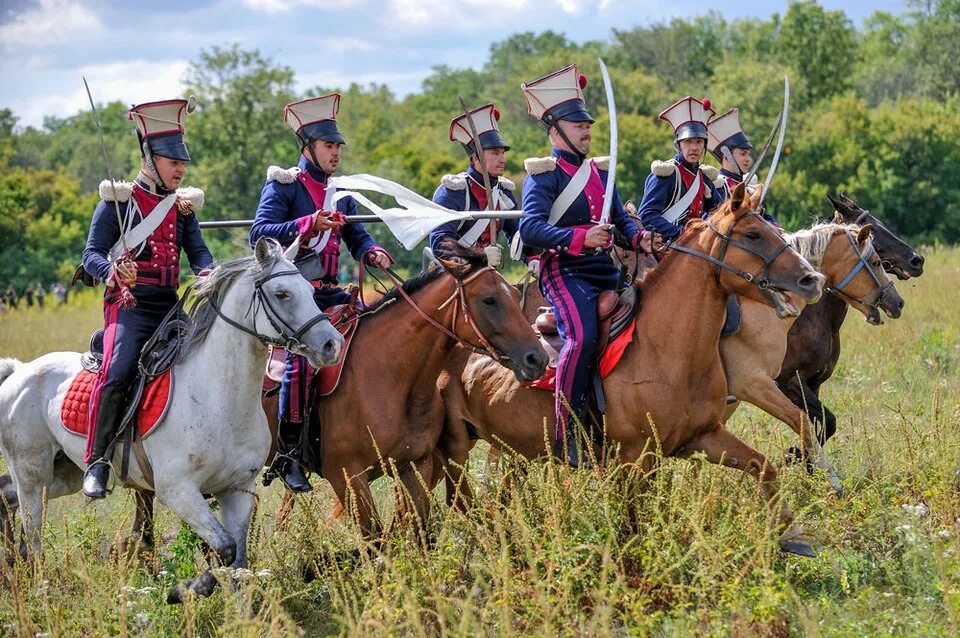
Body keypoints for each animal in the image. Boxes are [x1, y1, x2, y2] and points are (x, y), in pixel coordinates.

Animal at [0, 238, 344, 604]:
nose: (332, 344)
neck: (219, 397)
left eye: (310, 289)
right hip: (34, 474)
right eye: (282, 294)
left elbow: (237, 561)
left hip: (64, 473)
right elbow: (224, 548)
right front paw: (184, 590)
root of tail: (18, 370)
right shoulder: (178, 490)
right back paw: (36, 589)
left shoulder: (237, 490)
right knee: (33, 534)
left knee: (10, 496)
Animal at [436, 182, 824, 556]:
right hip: (455, 452)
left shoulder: (702, 437)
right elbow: (633, 524)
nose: (812, 279)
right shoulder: (634, 459)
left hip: (513, 449)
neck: (667, 349)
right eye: (753, 234)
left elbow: (764, 466)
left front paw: (793, 534)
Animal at [724, 220, 904, 496]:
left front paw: (806, 469)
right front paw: (797, 458)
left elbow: (821, 424)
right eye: (876, 260)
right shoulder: (787, 382)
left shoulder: (813, 383)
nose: (898, 302)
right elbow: (822, 422)